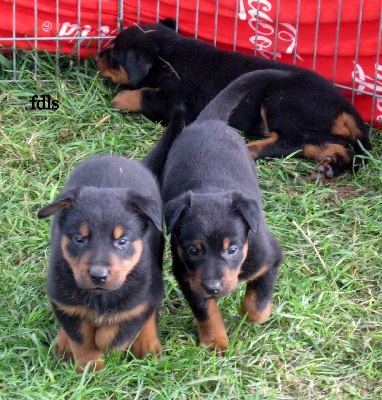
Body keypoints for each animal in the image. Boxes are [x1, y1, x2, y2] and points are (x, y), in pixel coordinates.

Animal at [37, 154, 164, 372]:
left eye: (122, 241)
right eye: (79, 239)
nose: (98, 275)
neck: (99, 297)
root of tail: (113, 157)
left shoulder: (136, 306)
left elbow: (113, 336)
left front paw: (104, 344)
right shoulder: (64, 302)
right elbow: (81, 337)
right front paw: (90, 367)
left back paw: (147, 344)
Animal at [97, 19, 372, 180]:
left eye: (113, 54)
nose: (98, 55)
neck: (168, 56)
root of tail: (346, 108)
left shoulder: (174, 100)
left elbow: (140, 95)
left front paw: (119, 98)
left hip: (280, 100)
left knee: (288, 141)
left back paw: (250, 148)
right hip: (317, 133)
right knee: (331, 149)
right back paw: (328, 167)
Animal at [152, 71, 284, 354]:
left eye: (232, 249)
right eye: (193, 250)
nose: (213, 287)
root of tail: (208, 120)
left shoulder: (270, 258)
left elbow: (256, 303)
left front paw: (253, 317)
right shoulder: (187, 276)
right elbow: (205, 311)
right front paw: (215, 342)